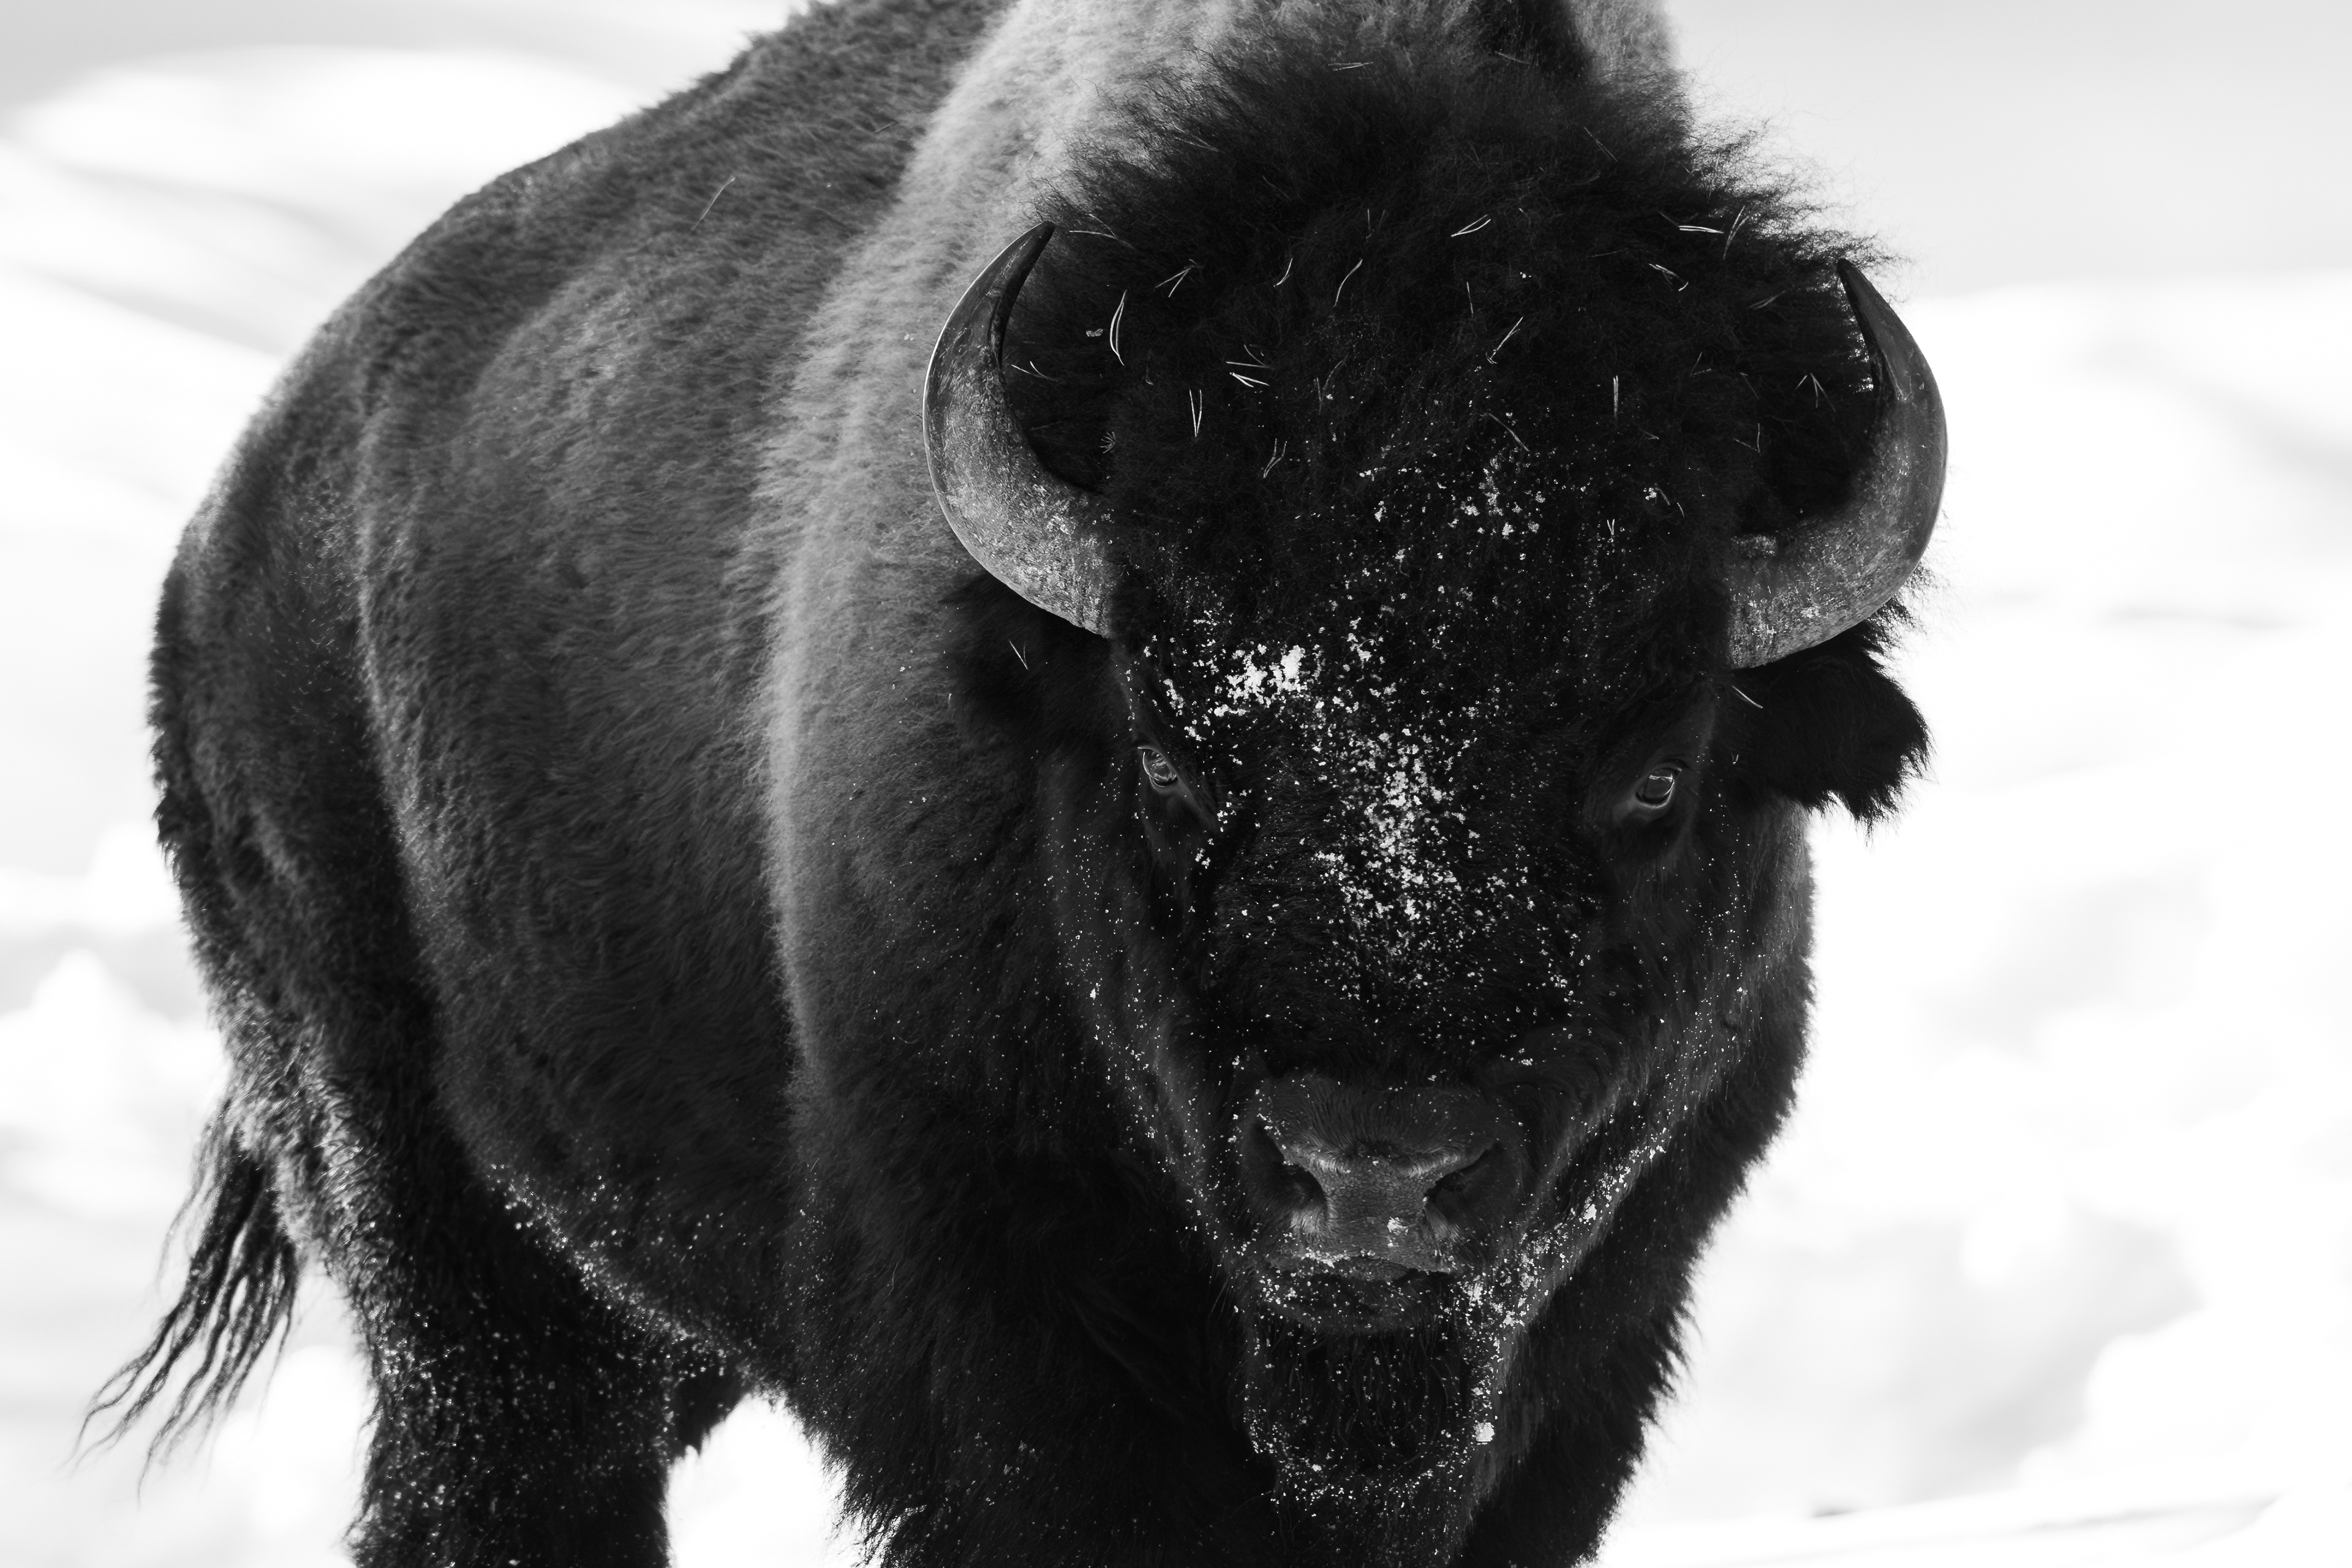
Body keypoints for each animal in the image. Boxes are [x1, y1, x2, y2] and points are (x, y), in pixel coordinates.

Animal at [102, 1, 1942, 1564]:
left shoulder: (1590, 1361)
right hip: (449, 1257)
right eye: (1173, 748)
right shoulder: (1022, 1375)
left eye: (1658, 777)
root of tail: (236, 516)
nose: (1373, 1173)